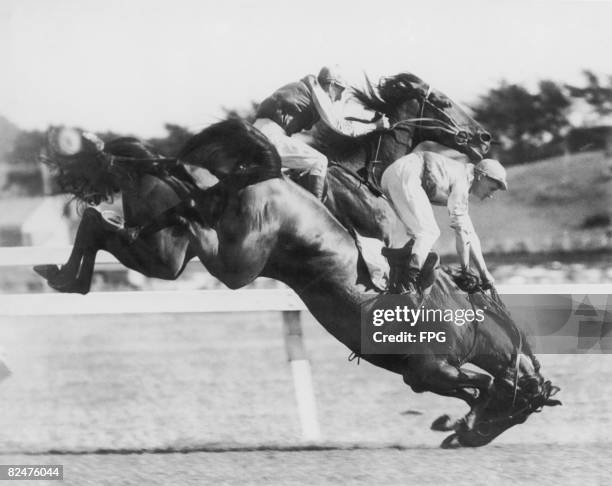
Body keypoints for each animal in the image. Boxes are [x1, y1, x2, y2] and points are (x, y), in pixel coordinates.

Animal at [34, 119, 560, 446]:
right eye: (515, 412)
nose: (469, 443)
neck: (467, 319)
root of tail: (267, 171)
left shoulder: (421, 375)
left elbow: (472, 387)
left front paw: (453, 419)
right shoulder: (431, 369)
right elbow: (478, 385)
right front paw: (459, 418)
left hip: (170, 251)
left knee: (105, 222)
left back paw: (63, 273)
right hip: (233, 262)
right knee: (152, 223)